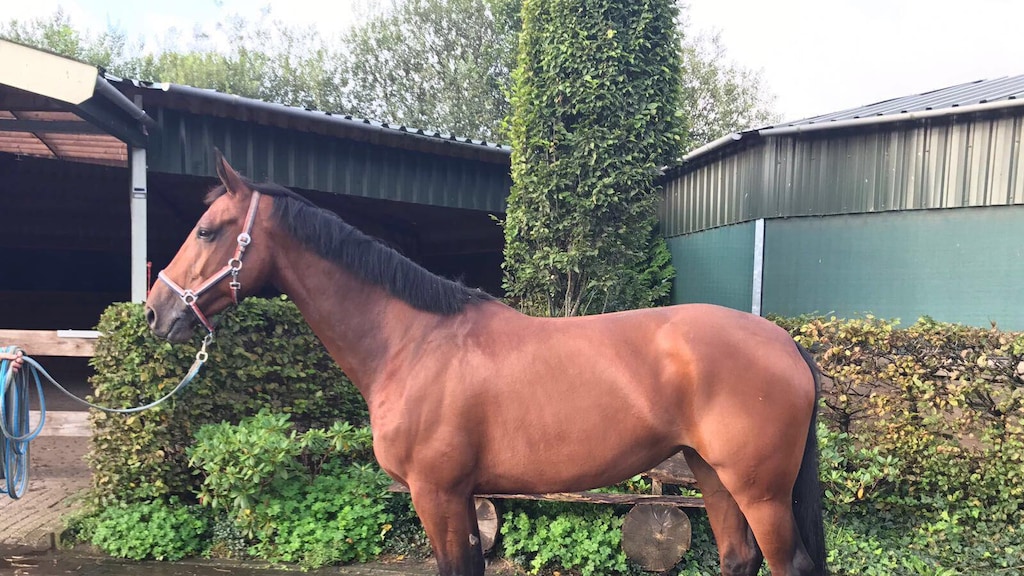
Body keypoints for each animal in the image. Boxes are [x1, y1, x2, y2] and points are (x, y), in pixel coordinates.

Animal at [146, 152, 827, 576]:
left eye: (207, 230)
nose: (156, 311)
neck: (413, 342)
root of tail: (783, 341)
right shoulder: (462, 497)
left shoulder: (437, 494)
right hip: (712, 474)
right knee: (737, 558)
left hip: (761, 490)